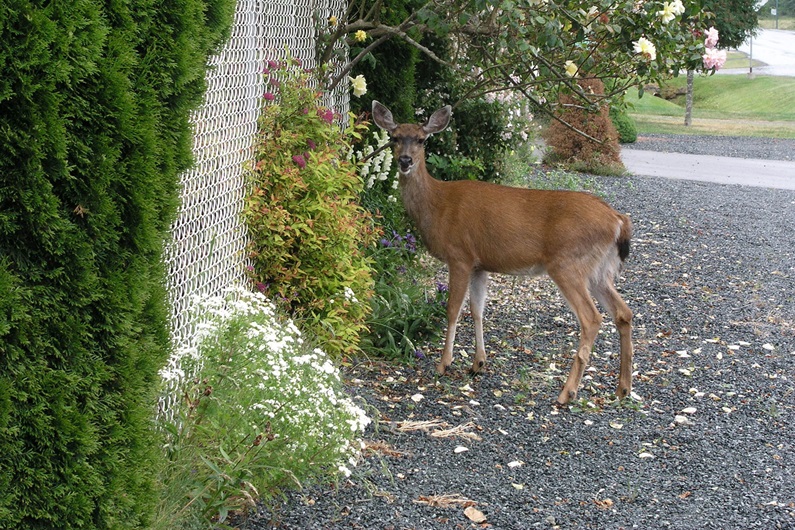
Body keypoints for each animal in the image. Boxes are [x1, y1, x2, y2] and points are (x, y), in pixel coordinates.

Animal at [371, 100, 635, 405]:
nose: (405, 161)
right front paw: (478, 363)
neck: (437, 205)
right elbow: (477, 310)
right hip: (600, 271)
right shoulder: (479, 264)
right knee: (624, 313)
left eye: (422, 140)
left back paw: (566, 393)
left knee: (592, 319)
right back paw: (623, 388)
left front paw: (444, 364)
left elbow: (453, 309)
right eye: (394, 137)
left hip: (568, 263)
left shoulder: (459, 255)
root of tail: (618, 221)